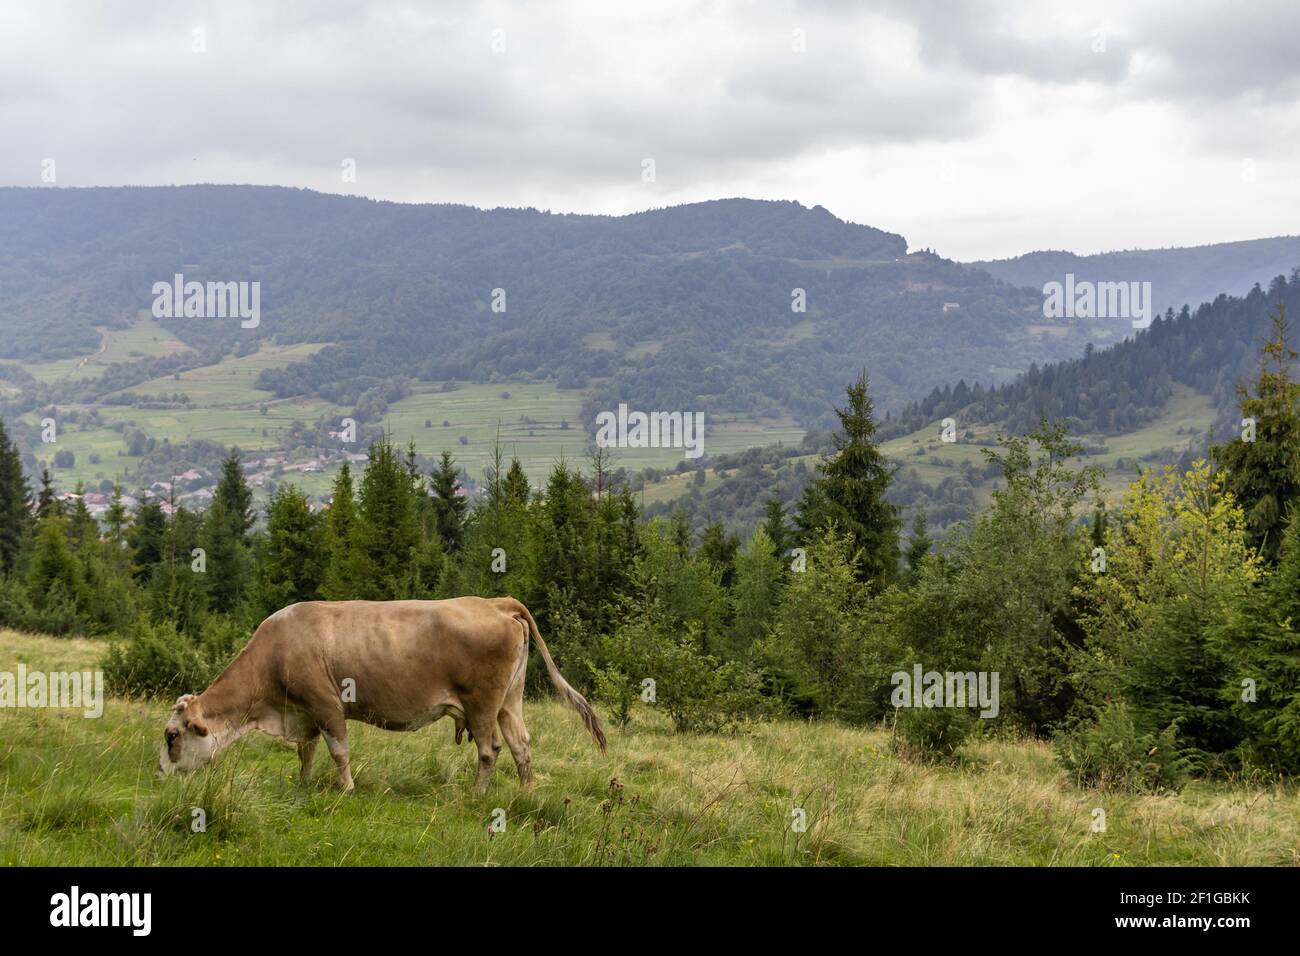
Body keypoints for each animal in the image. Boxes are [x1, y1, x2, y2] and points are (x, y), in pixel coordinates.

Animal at [159, 598, 605, 790]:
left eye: (171, 736)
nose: (160, 773)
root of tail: (496, 602)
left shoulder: (326, 705)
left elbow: (338, 751)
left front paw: (346, 789)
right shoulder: (303, 711)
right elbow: (306, 751)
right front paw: (303, 783)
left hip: (482, 704)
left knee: (490, 749)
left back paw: (479, 794)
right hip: (509, 701)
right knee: (521, 745)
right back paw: (527, 793)